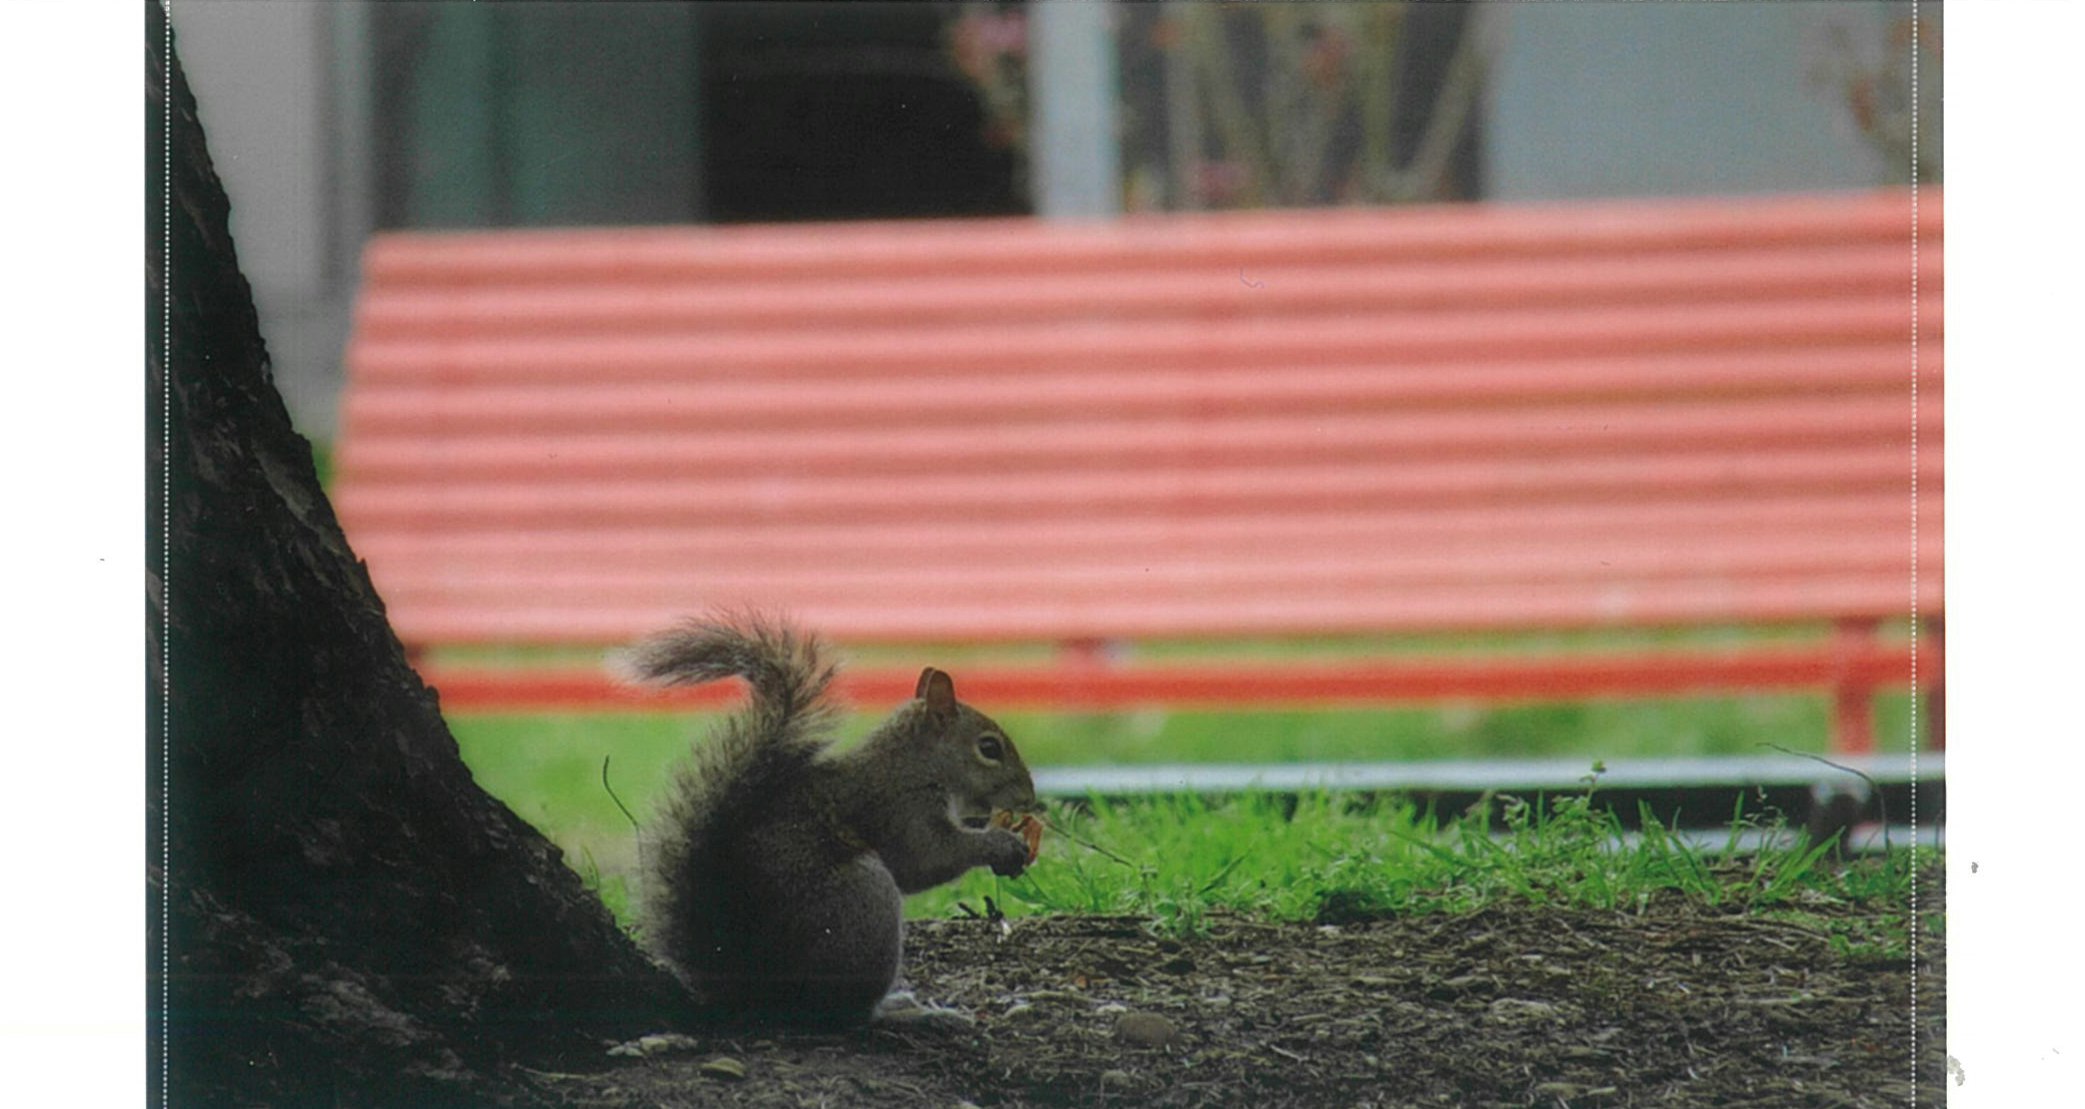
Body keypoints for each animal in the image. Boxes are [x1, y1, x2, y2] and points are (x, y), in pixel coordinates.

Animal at [610, 612, 1040, 1025]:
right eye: (989, 748)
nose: (1030, 798)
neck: (915, 763)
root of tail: (755, 995)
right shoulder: (900, 809)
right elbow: (928, 858)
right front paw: (1002, 843)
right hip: (864, 901)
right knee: (850, 1014)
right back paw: (909, 1013)